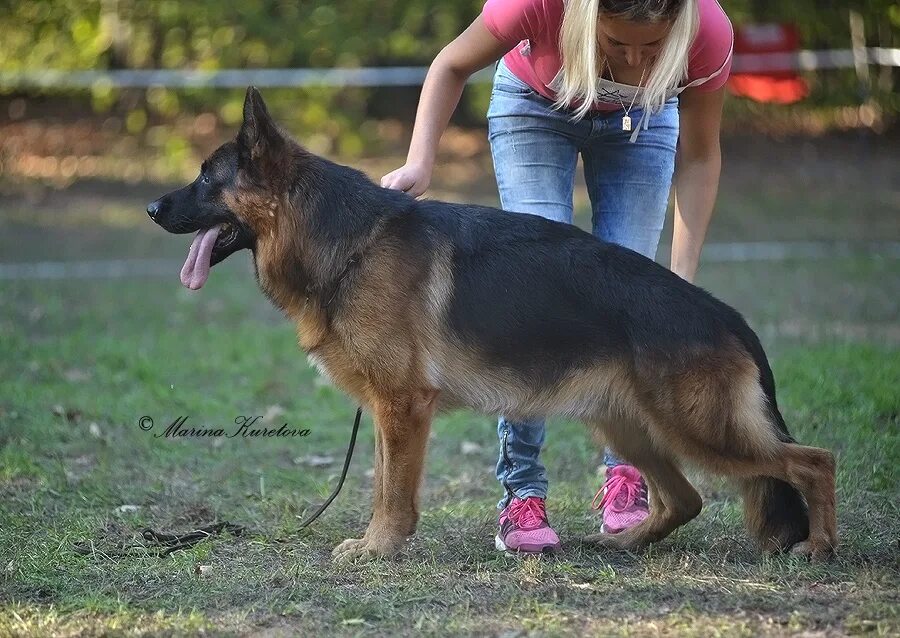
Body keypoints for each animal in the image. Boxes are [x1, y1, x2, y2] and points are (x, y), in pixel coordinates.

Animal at [148, 89, 836, 560]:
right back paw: (625, 543)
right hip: (628, 425)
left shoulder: (403, 406)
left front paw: (379, 549)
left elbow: (393, 491)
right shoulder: (389, 410)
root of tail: (723, 313)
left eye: (207, 178)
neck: (340, 239)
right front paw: (378, 543)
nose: (151, 207)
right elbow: (383, 483)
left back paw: (820, 548)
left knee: (814, 462)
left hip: (700, 428)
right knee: (688, 497)